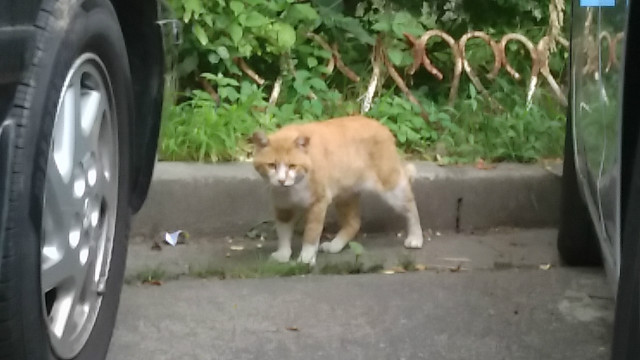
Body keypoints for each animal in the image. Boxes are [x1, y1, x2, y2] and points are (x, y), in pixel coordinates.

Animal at [251, 115, 424, 264]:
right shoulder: (282, 207)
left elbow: (311, 234)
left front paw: (306, 258)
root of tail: (382, 127)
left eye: (292, 166)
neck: (293, 189)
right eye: (271, 165)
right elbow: (283, 232)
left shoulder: (318, 203)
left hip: (391, 186)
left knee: (411, 205)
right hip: (345, 195)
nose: (281, 180)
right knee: (354, 222)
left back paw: (416, 238)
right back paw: (335, 245)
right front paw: (283, 254)